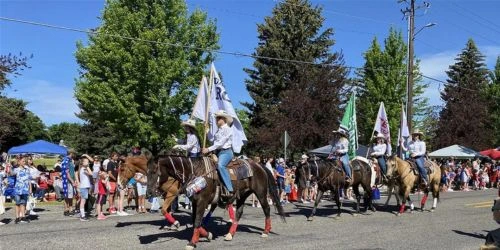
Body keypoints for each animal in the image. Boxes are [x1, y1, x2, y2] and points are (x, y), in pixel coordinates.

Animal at [145, 155, 286, 249]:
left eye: (155, 171)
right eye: (146, 172)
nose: (149, 194)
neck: (195, 172)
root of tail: (258, 164)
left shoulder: (201, 201)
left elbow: (197, 221)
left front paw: (192, 242)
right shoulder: (195, 202)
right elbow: (195, 221)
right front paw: (208, 235)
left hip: (260, 193)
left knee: (266, 209)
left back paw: (265, 232)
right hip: (242, 195)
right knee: (239, 212)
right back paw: (230, 234)